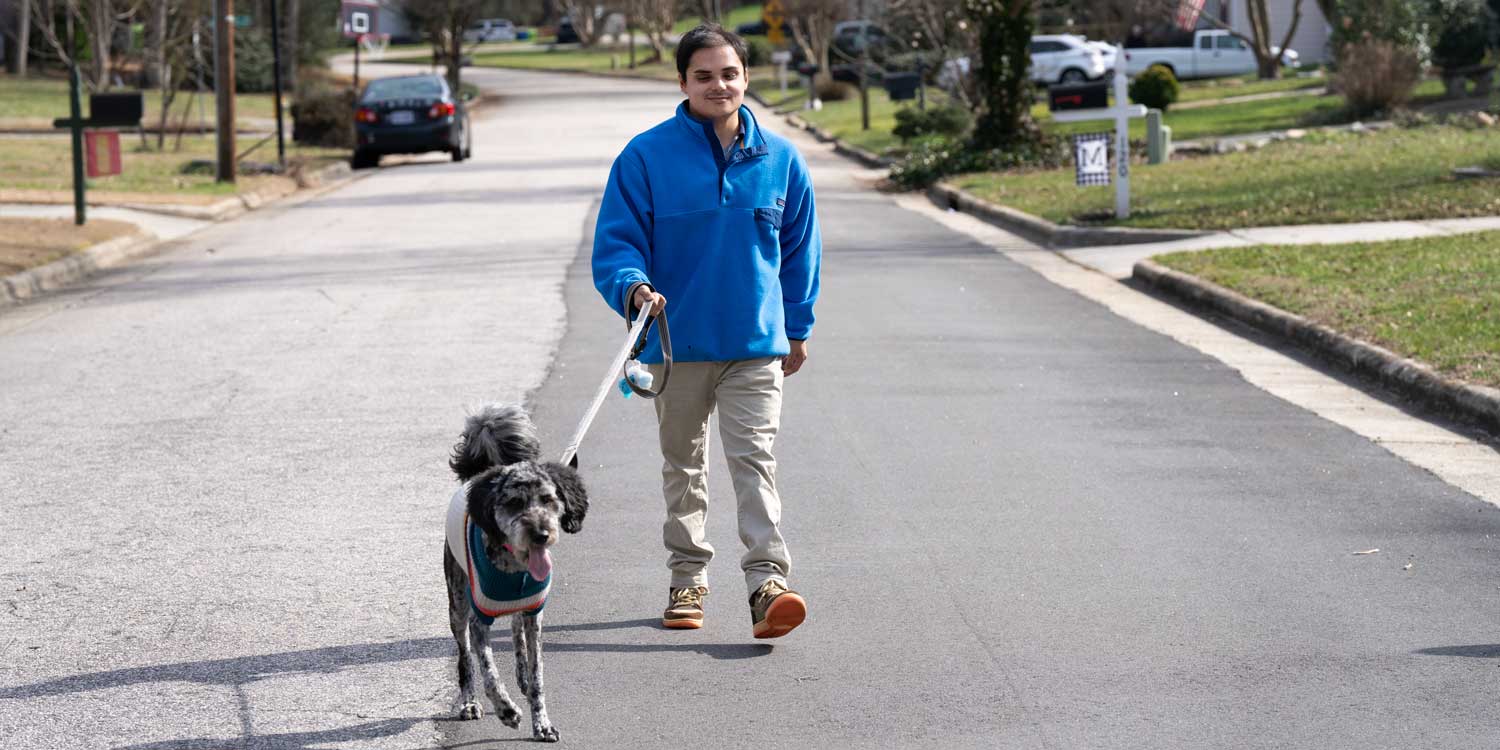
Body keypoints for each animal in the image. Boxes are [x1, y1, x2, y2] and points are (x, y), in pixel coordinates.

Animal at [441, 405, 588, 738]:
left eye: (548, 499)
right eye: (513, 503)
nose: (541, 534)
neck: (515, 569)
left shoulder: (535, 614)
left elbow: (537, 674)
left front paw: (542, 723)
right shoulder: (479, 620)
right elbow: (489, 673)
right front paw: (506, 710)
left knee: (515, 630)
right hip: (458, 605)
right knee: (465, 658)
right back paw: (469, 703)